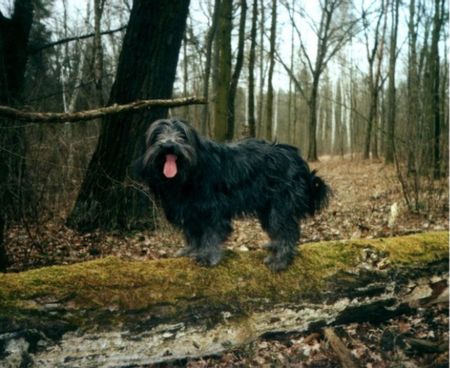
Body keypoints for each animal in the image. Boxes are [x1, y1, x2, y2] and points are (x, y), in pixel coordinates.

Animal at [135, 118, 328, 270]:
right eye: (157, 134)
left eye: (182, 135)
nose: (168, 145)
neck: (189, 172)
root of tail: (298, 159)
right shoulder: (190, 211)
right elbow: (193, 233)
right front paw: (190, 250)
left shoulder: (212, 209)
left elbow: (211, 233)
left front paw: (207, 256)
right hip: (268, 207)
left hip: (280, 205)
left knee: (286, 231)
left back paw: (280, 260)